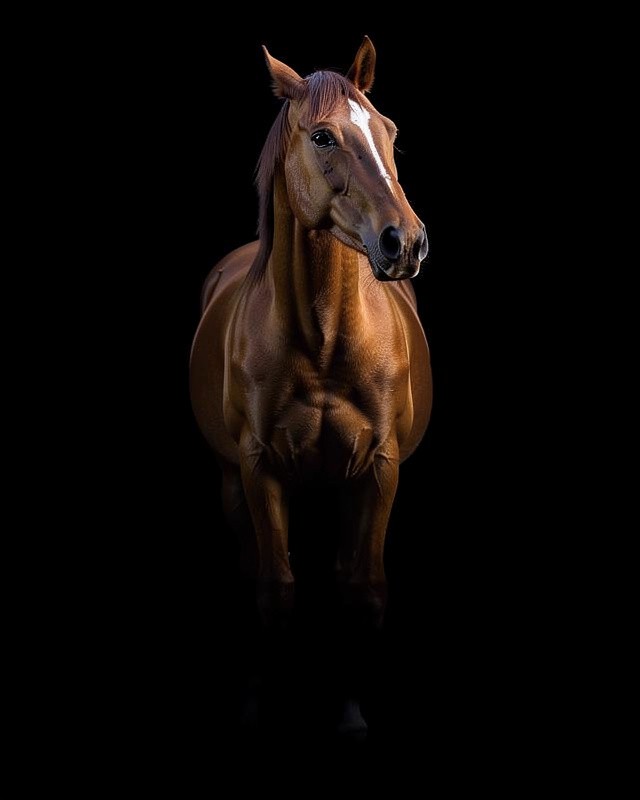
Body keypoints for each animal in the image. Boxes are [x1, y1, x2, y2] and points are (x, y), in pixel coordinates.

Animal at [190, 36, 432, 733]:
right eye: (323, 136)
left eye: (389, 130)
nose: (406, 242)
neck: (324, 341)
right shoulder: (257, 468)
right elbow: (275, 588)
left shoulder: (378, 468)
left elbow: (363, 589)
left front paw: (352, 715)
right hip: (231, 481)